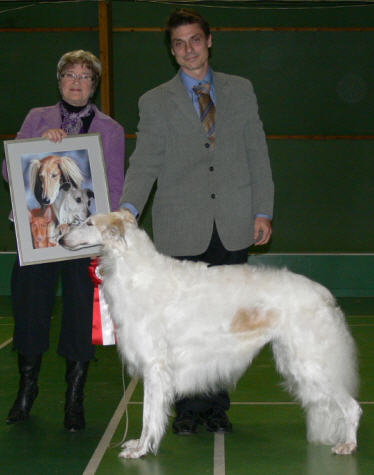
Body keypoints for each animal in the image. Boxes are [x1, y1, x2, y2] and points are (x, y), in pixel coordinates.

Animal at [59, 210, 362, 460]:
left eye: (88, 223)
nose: (61, 238)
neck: (135, 272)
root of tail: (321, 292)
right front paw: (139, 445)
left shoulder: (155, 367)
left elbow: (148, 416)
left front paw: (141, 449)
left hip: (311, 363)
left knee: (353, 407)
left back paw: (348, 444)